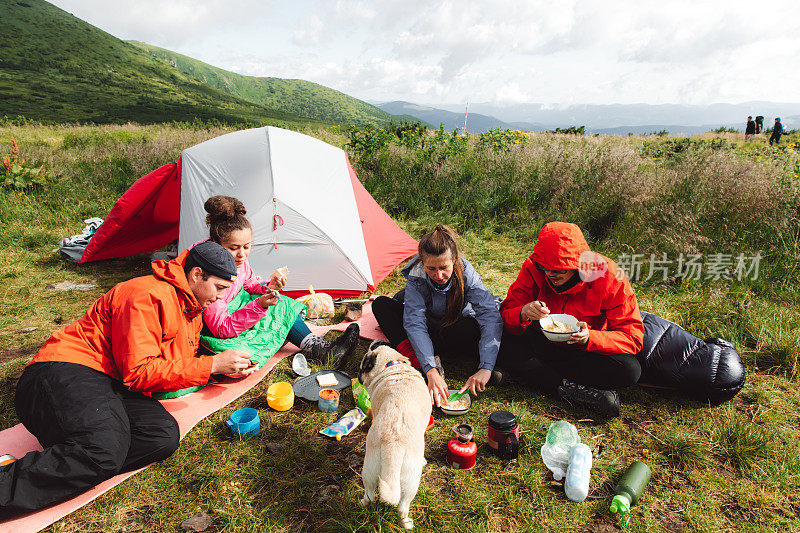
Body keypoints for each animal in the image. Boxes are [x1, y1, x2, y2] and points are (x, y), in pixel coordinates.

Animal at [358, 340, 432, 528]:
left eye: (362, 368)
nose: (359, 375)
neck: (392, 364)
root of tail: (393, 445)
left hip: (369, 470)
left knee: (369, 496)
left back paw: (363, 504)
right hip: (411, 481)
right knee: (402, 506)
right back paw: (407, 523)